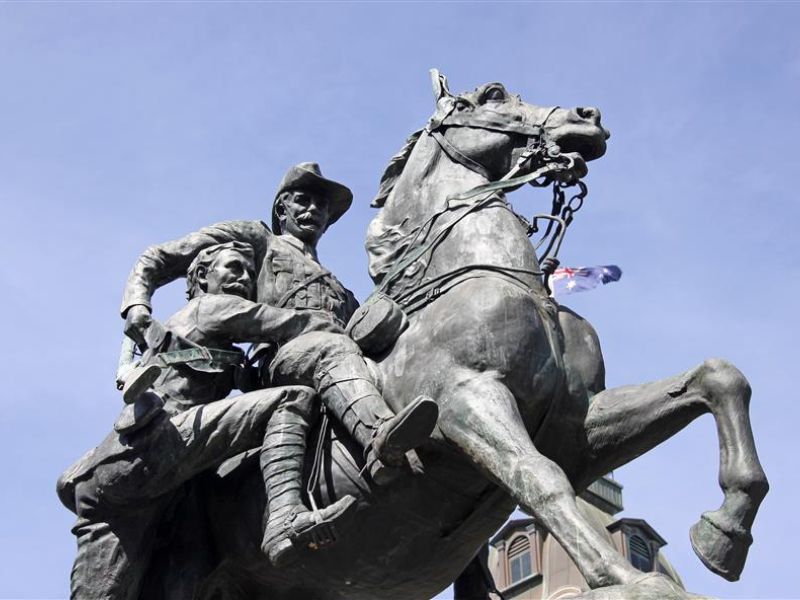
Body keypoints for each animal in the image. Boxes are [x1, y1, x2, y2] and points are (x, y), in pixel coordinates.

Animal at [184, 71, 764, 600]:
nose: (588, 116)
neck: (496, 277)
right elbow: (539, 477)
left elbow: (717, 378)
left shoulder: (576, 425)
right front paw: (625, 578)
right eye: (493, 94)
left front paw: (723, 534)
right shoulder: (466, 399)